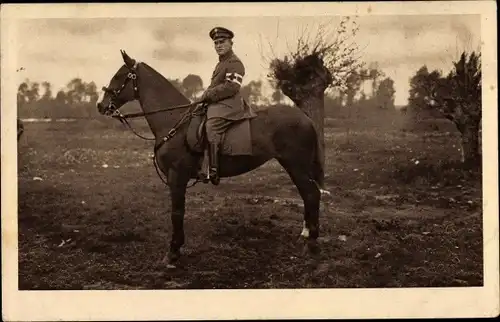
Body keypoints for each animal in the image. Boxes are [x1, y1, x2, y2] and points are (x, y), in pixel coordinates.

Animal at [96, 50, 328, 266]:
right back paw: (305, 235)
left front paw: (173, 253)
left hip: (296, 166)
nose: (100, 105)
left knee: (311, 194)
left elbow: (177, 213)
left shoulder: (177, 177)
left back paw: (311, 243)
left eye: (119, 76)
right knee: (308, 195)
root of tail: (306, 118)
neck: (174, 121)